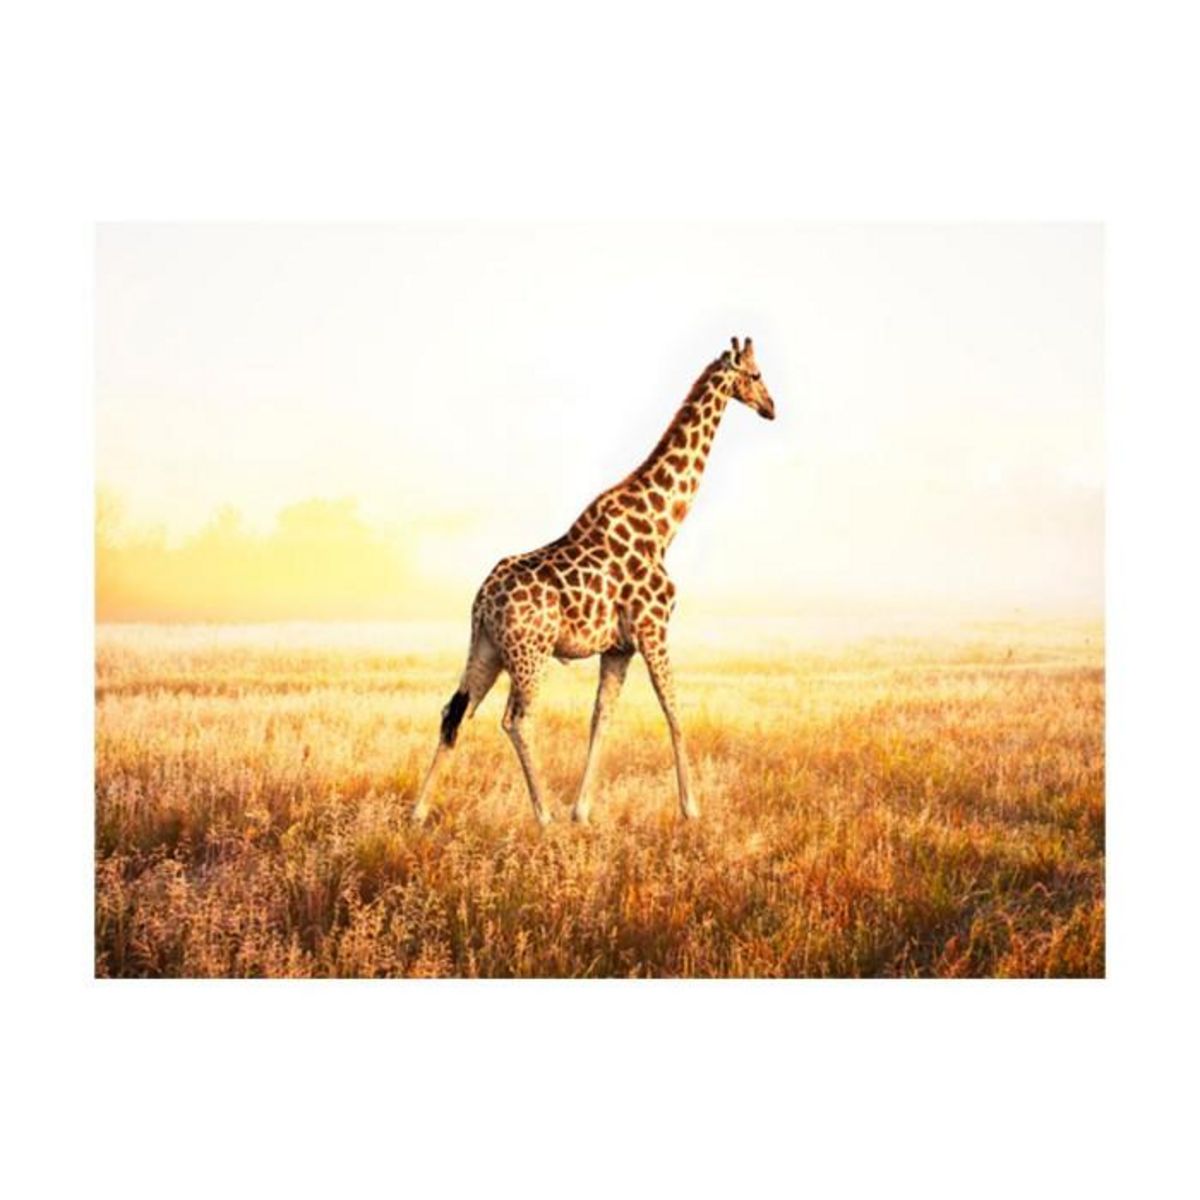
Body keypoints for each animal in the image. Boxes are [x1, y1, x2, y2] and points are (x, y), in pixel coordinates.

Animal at [410, 336, 776, 827]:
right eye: (756, 375)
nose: (771, 407)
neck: (662, 524)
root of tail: (481, 600)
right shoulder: (653, 629)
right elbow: (673, 709)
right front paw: (691, 808)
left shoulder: (618, 646)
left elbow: (601, 717)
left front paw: (582, 811)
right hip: (530, 652)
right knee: (516, 719)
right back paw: (543, 815)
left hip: (486, 647)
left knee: (455, 711)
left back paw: (418, 812)